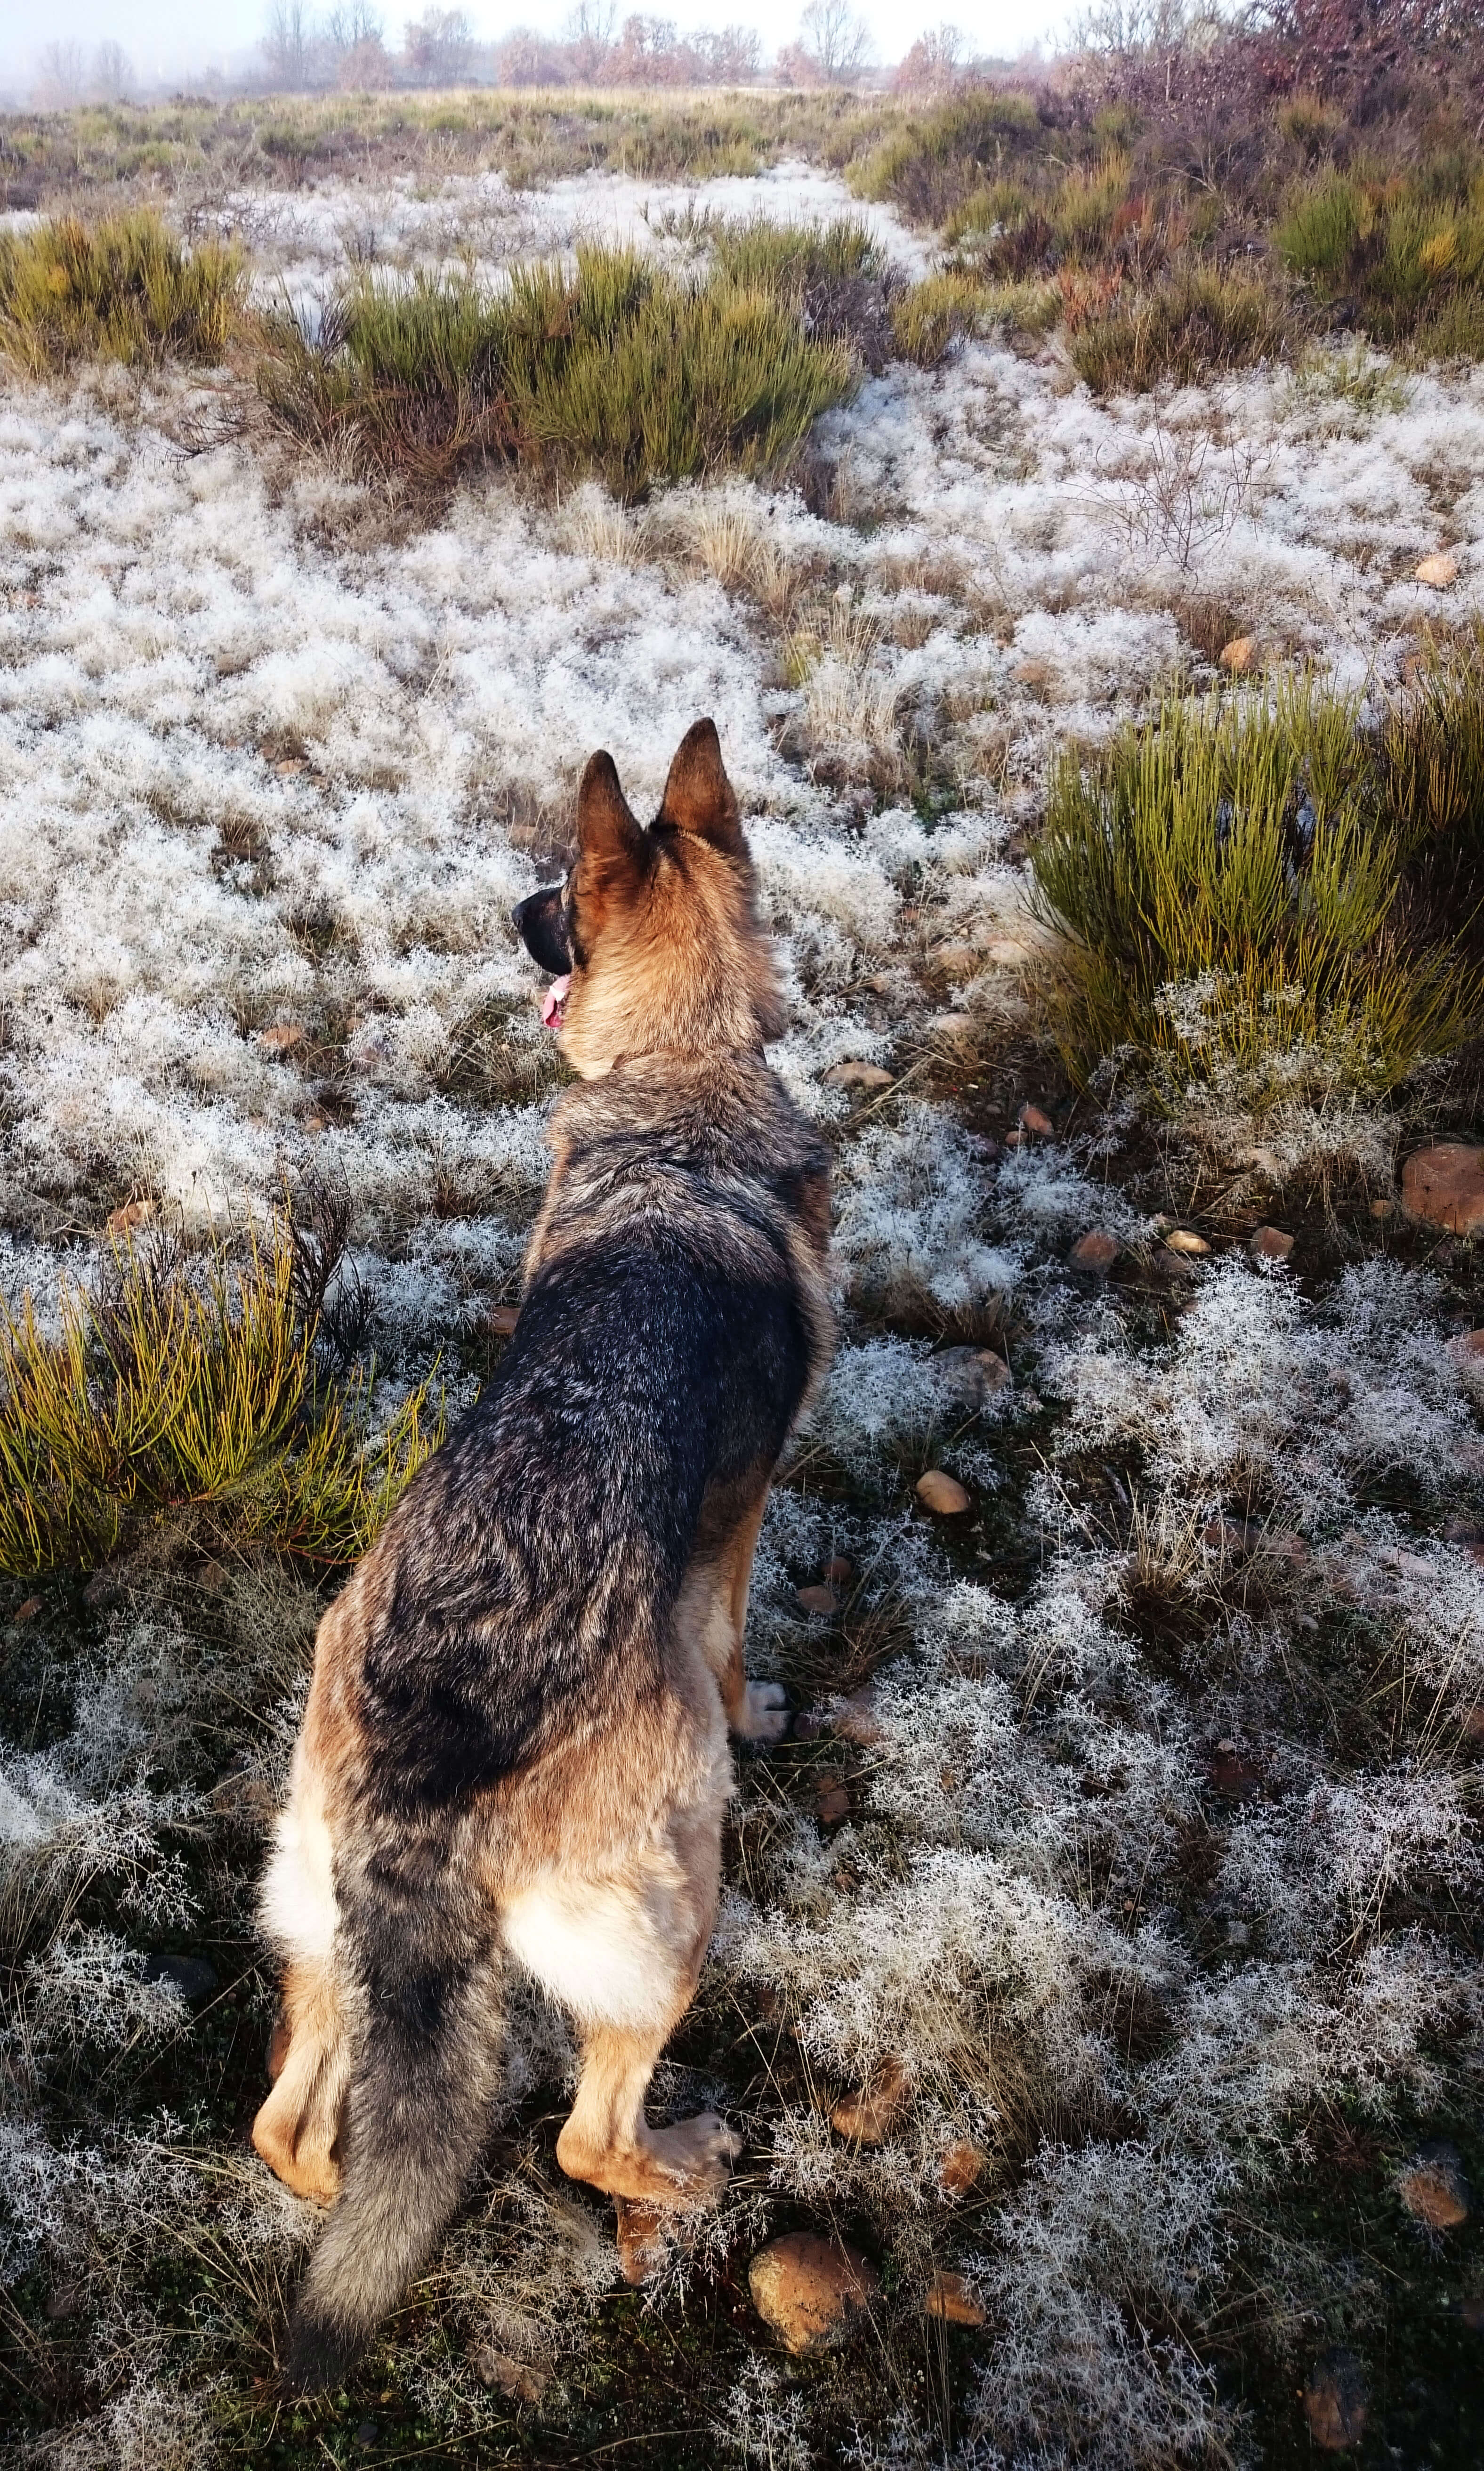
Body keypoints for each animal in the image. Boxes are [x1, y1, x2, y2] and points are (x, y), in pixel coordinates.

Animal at [254, 721, 834, 2382]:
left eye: (557, 901)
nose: (507, 908)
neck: (679, 1091)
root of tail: (427, 1779)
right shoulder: (738, 1523)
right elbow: (741, 1641)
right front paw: (775, 1707)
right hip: (676, 1901)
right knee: (590, 2135)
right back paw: (688, 2166)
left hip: (324, 1926)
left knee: (295, 2131)